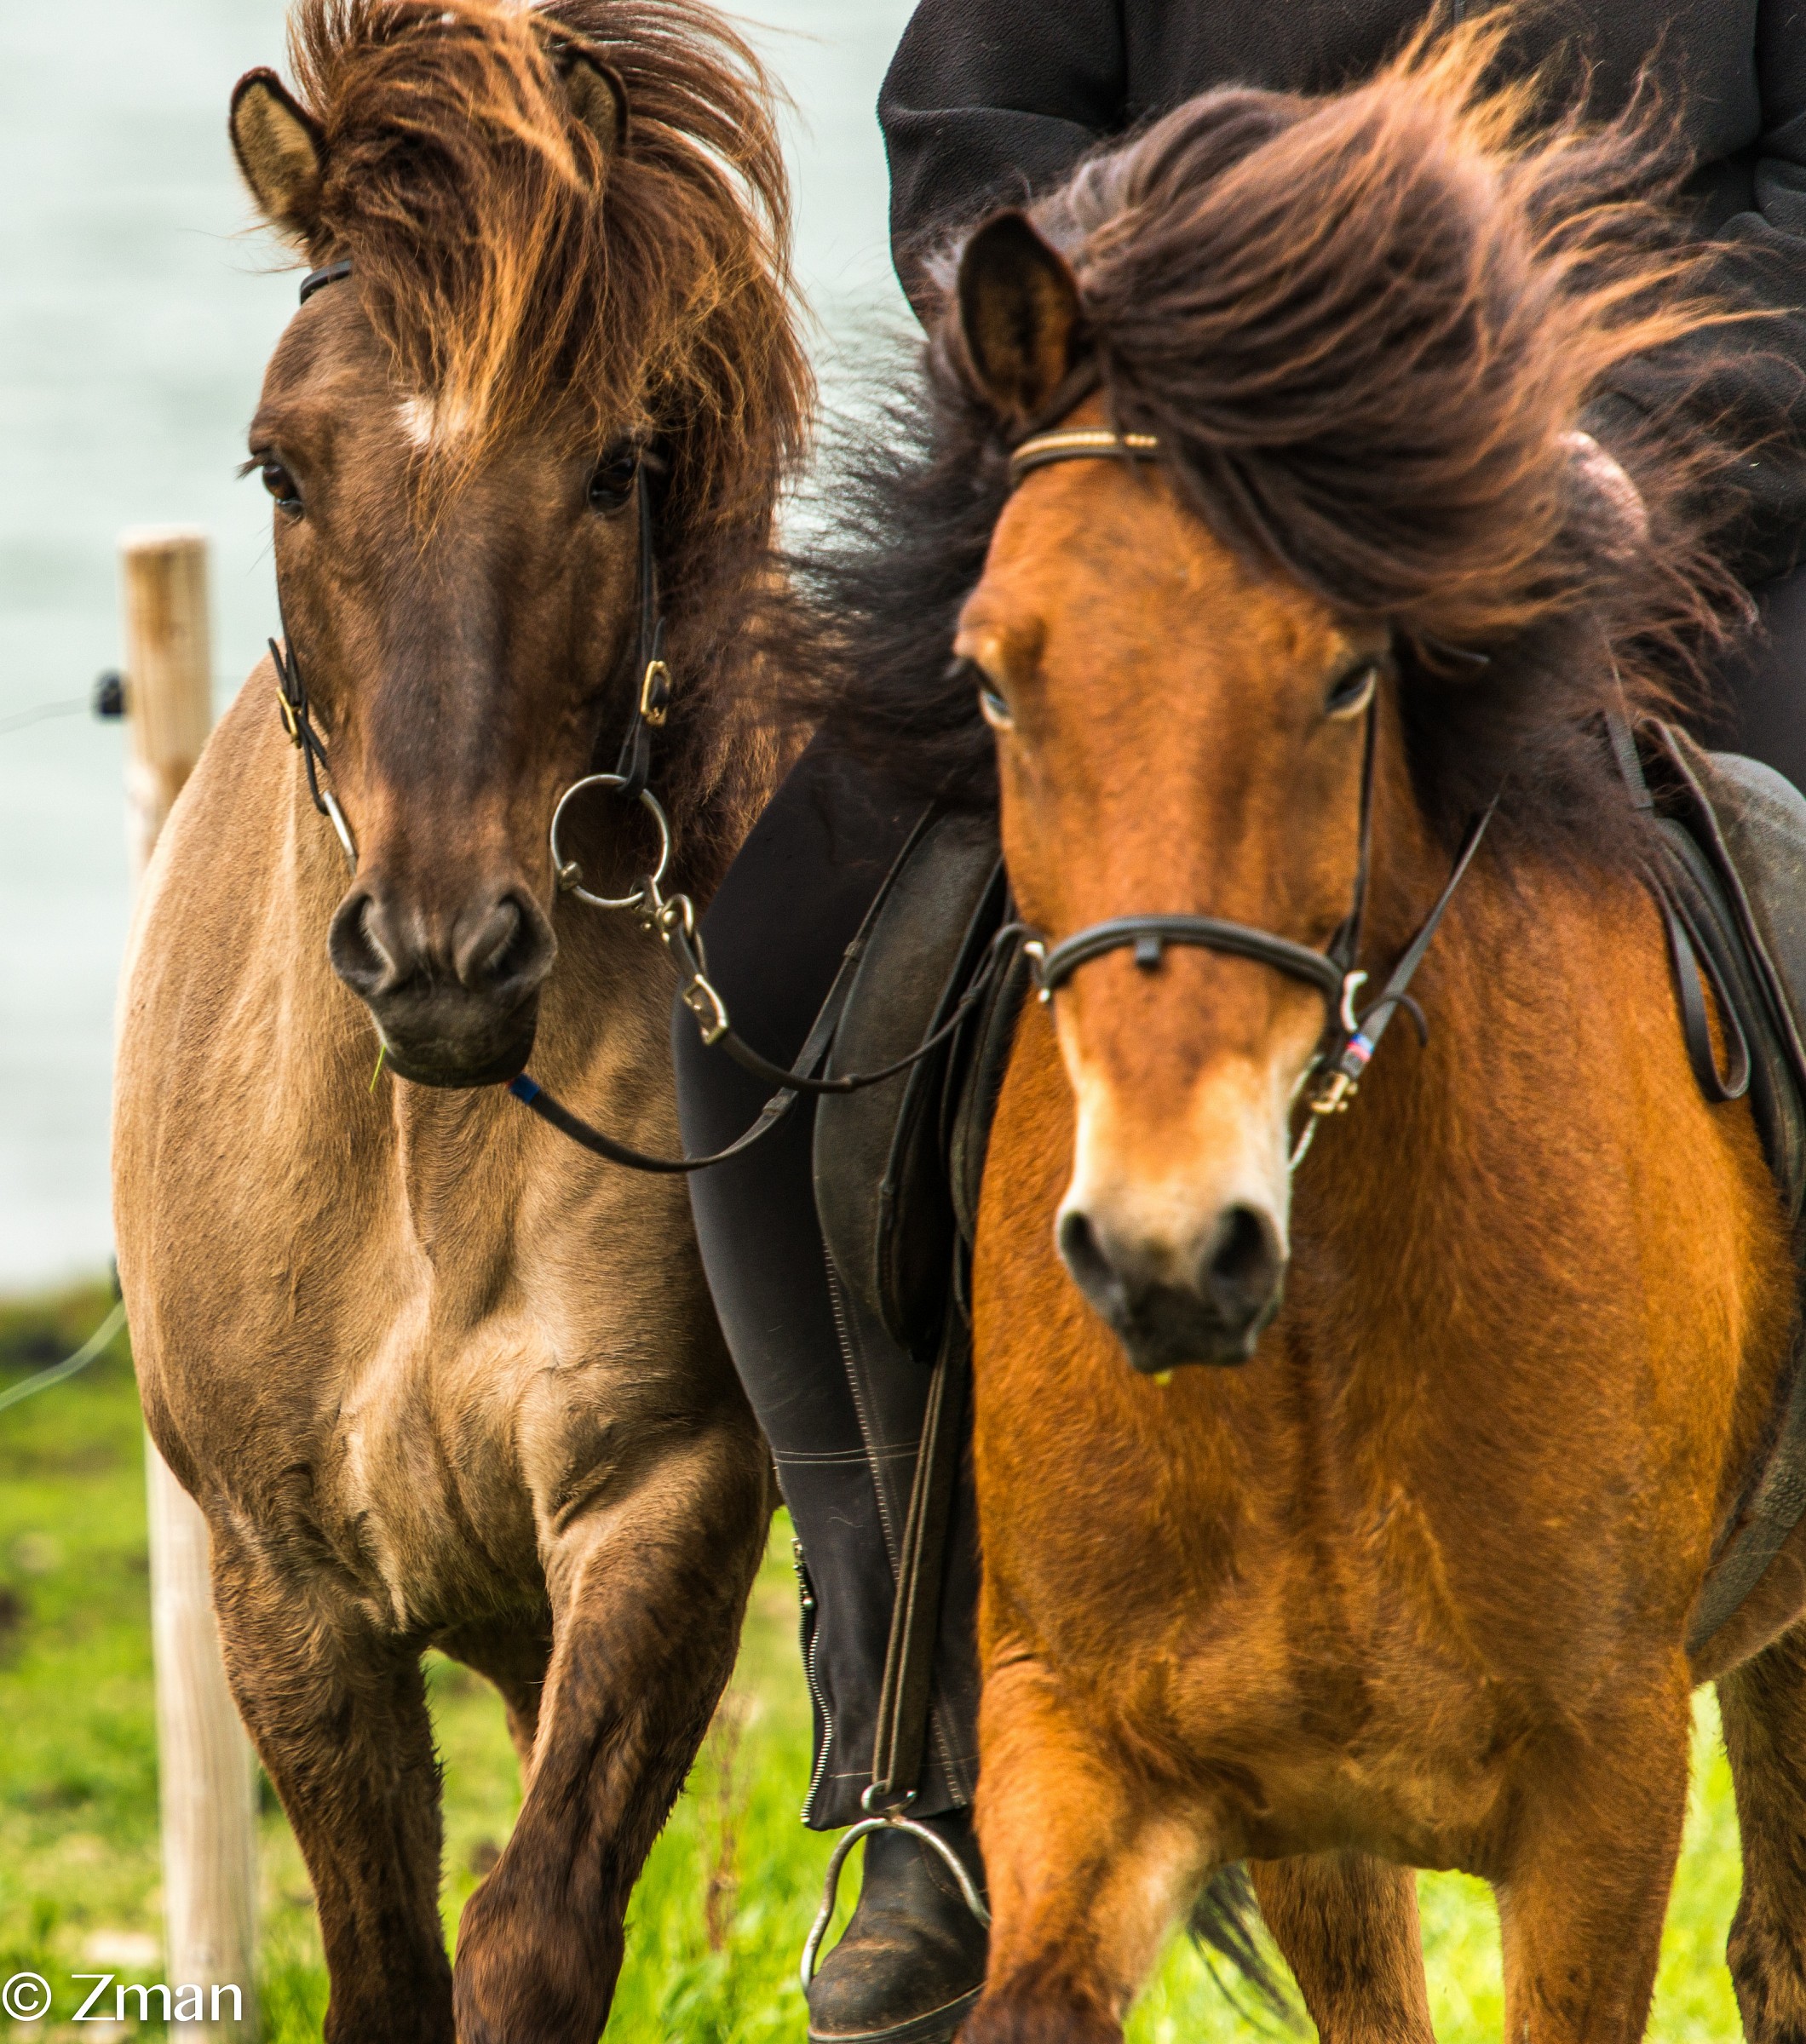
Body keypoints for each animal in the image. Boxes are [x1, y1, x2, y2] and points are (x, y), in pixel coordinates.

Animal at [111, 4, 809, 2038]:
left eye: (613, 464)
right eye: (279, 468)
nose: (441, 960)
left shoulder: (663, 1519)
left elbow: (532, 1938)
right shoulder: (290, 1601)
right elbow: (387, 1968)